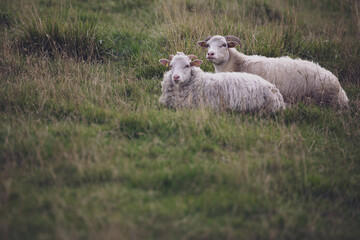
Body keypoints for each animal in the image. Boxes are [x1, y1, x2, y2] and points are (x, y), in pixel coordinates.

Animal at [197, 34, 348, 108]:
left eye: (224, 45)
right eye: (208, 45)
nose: (210, 54)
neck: (238, 63)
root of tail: (342, 92)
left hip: (322, 97)